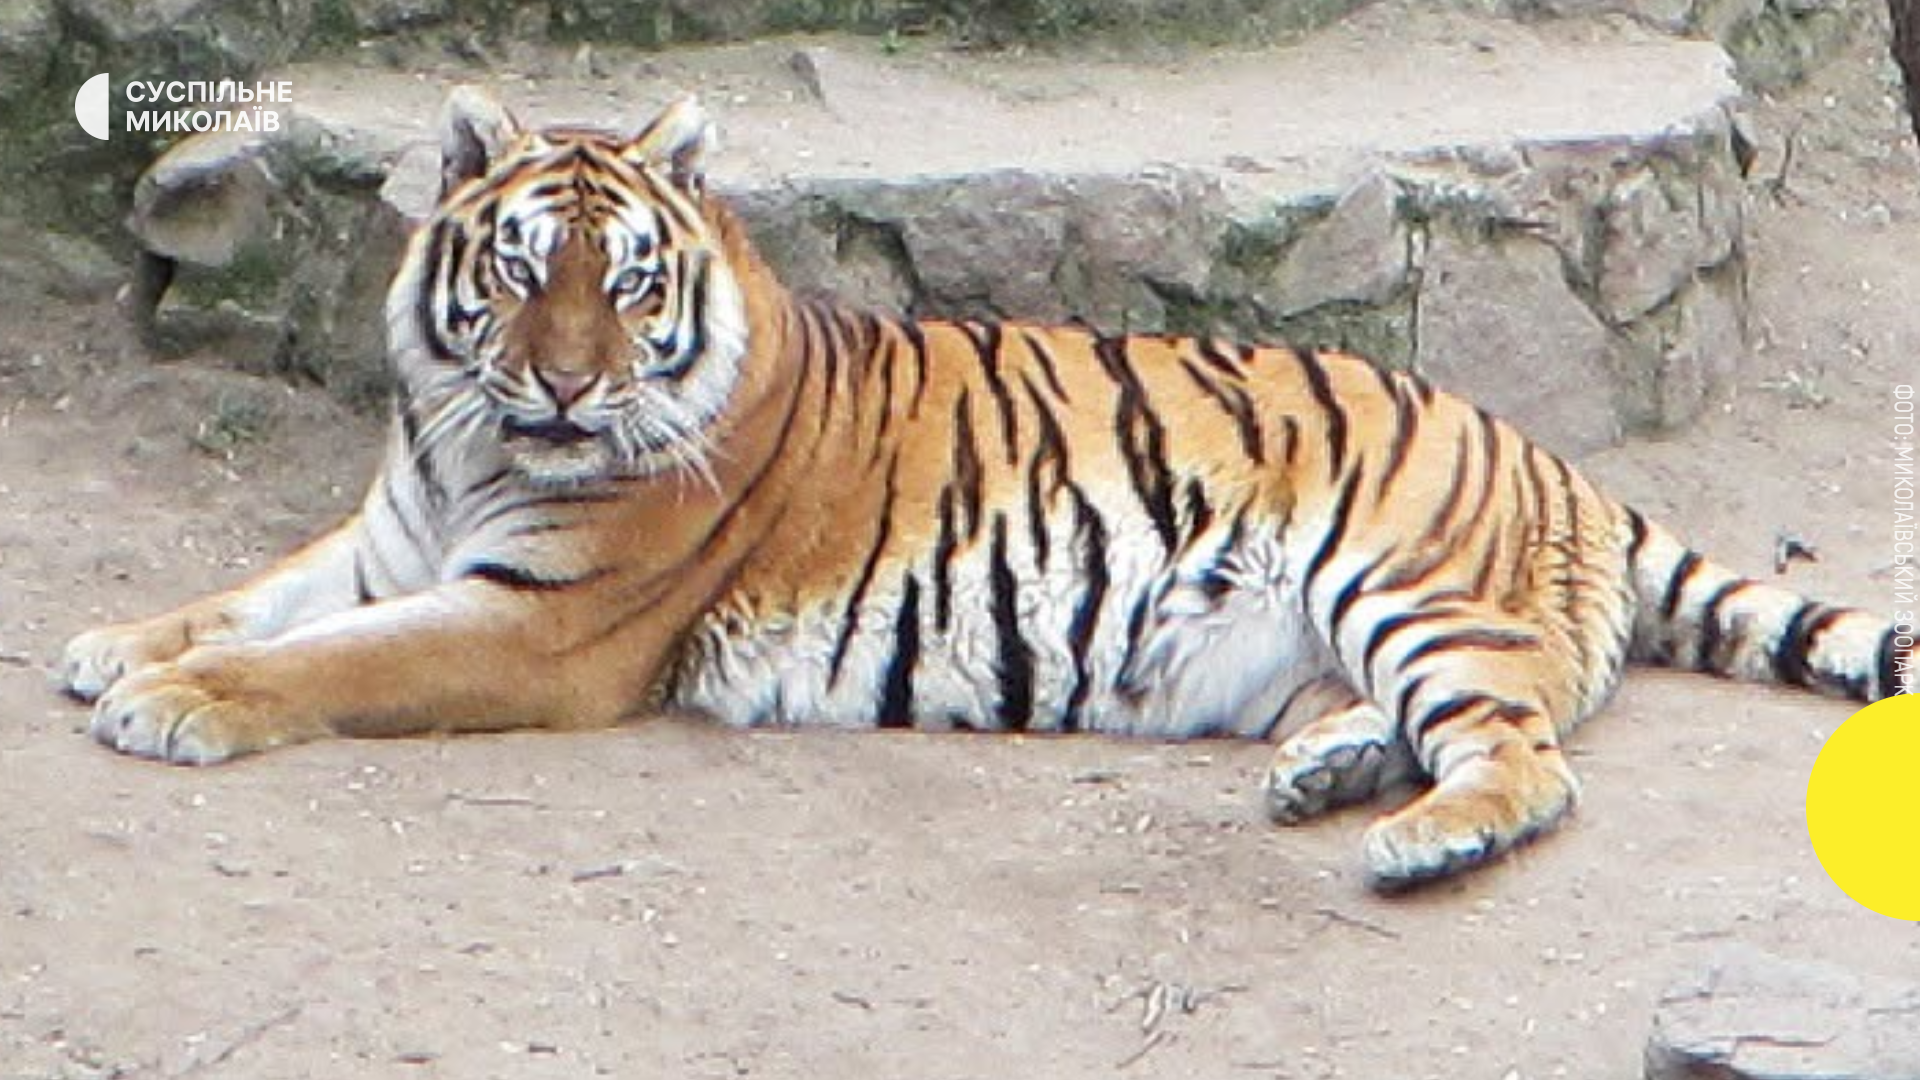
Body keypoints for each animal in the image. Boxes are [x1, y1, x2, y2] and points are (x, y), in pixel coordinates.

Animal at [58, 86, 1910, 891]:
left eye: (628, 283)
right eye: (519, 271)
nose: (570, 383)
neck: (468, 439)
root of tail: (1557, 464)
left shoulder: (536, 626)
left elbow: (324, 660)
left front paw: (179, 706)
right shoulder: (392, 536)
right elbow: (254, 595)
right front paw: (112, 644)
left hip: (1414, 590)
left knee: (1529, 762)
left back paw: (1415, 840)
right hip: (1324, 643)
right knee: (1424, 721)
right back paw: (1327, 776)